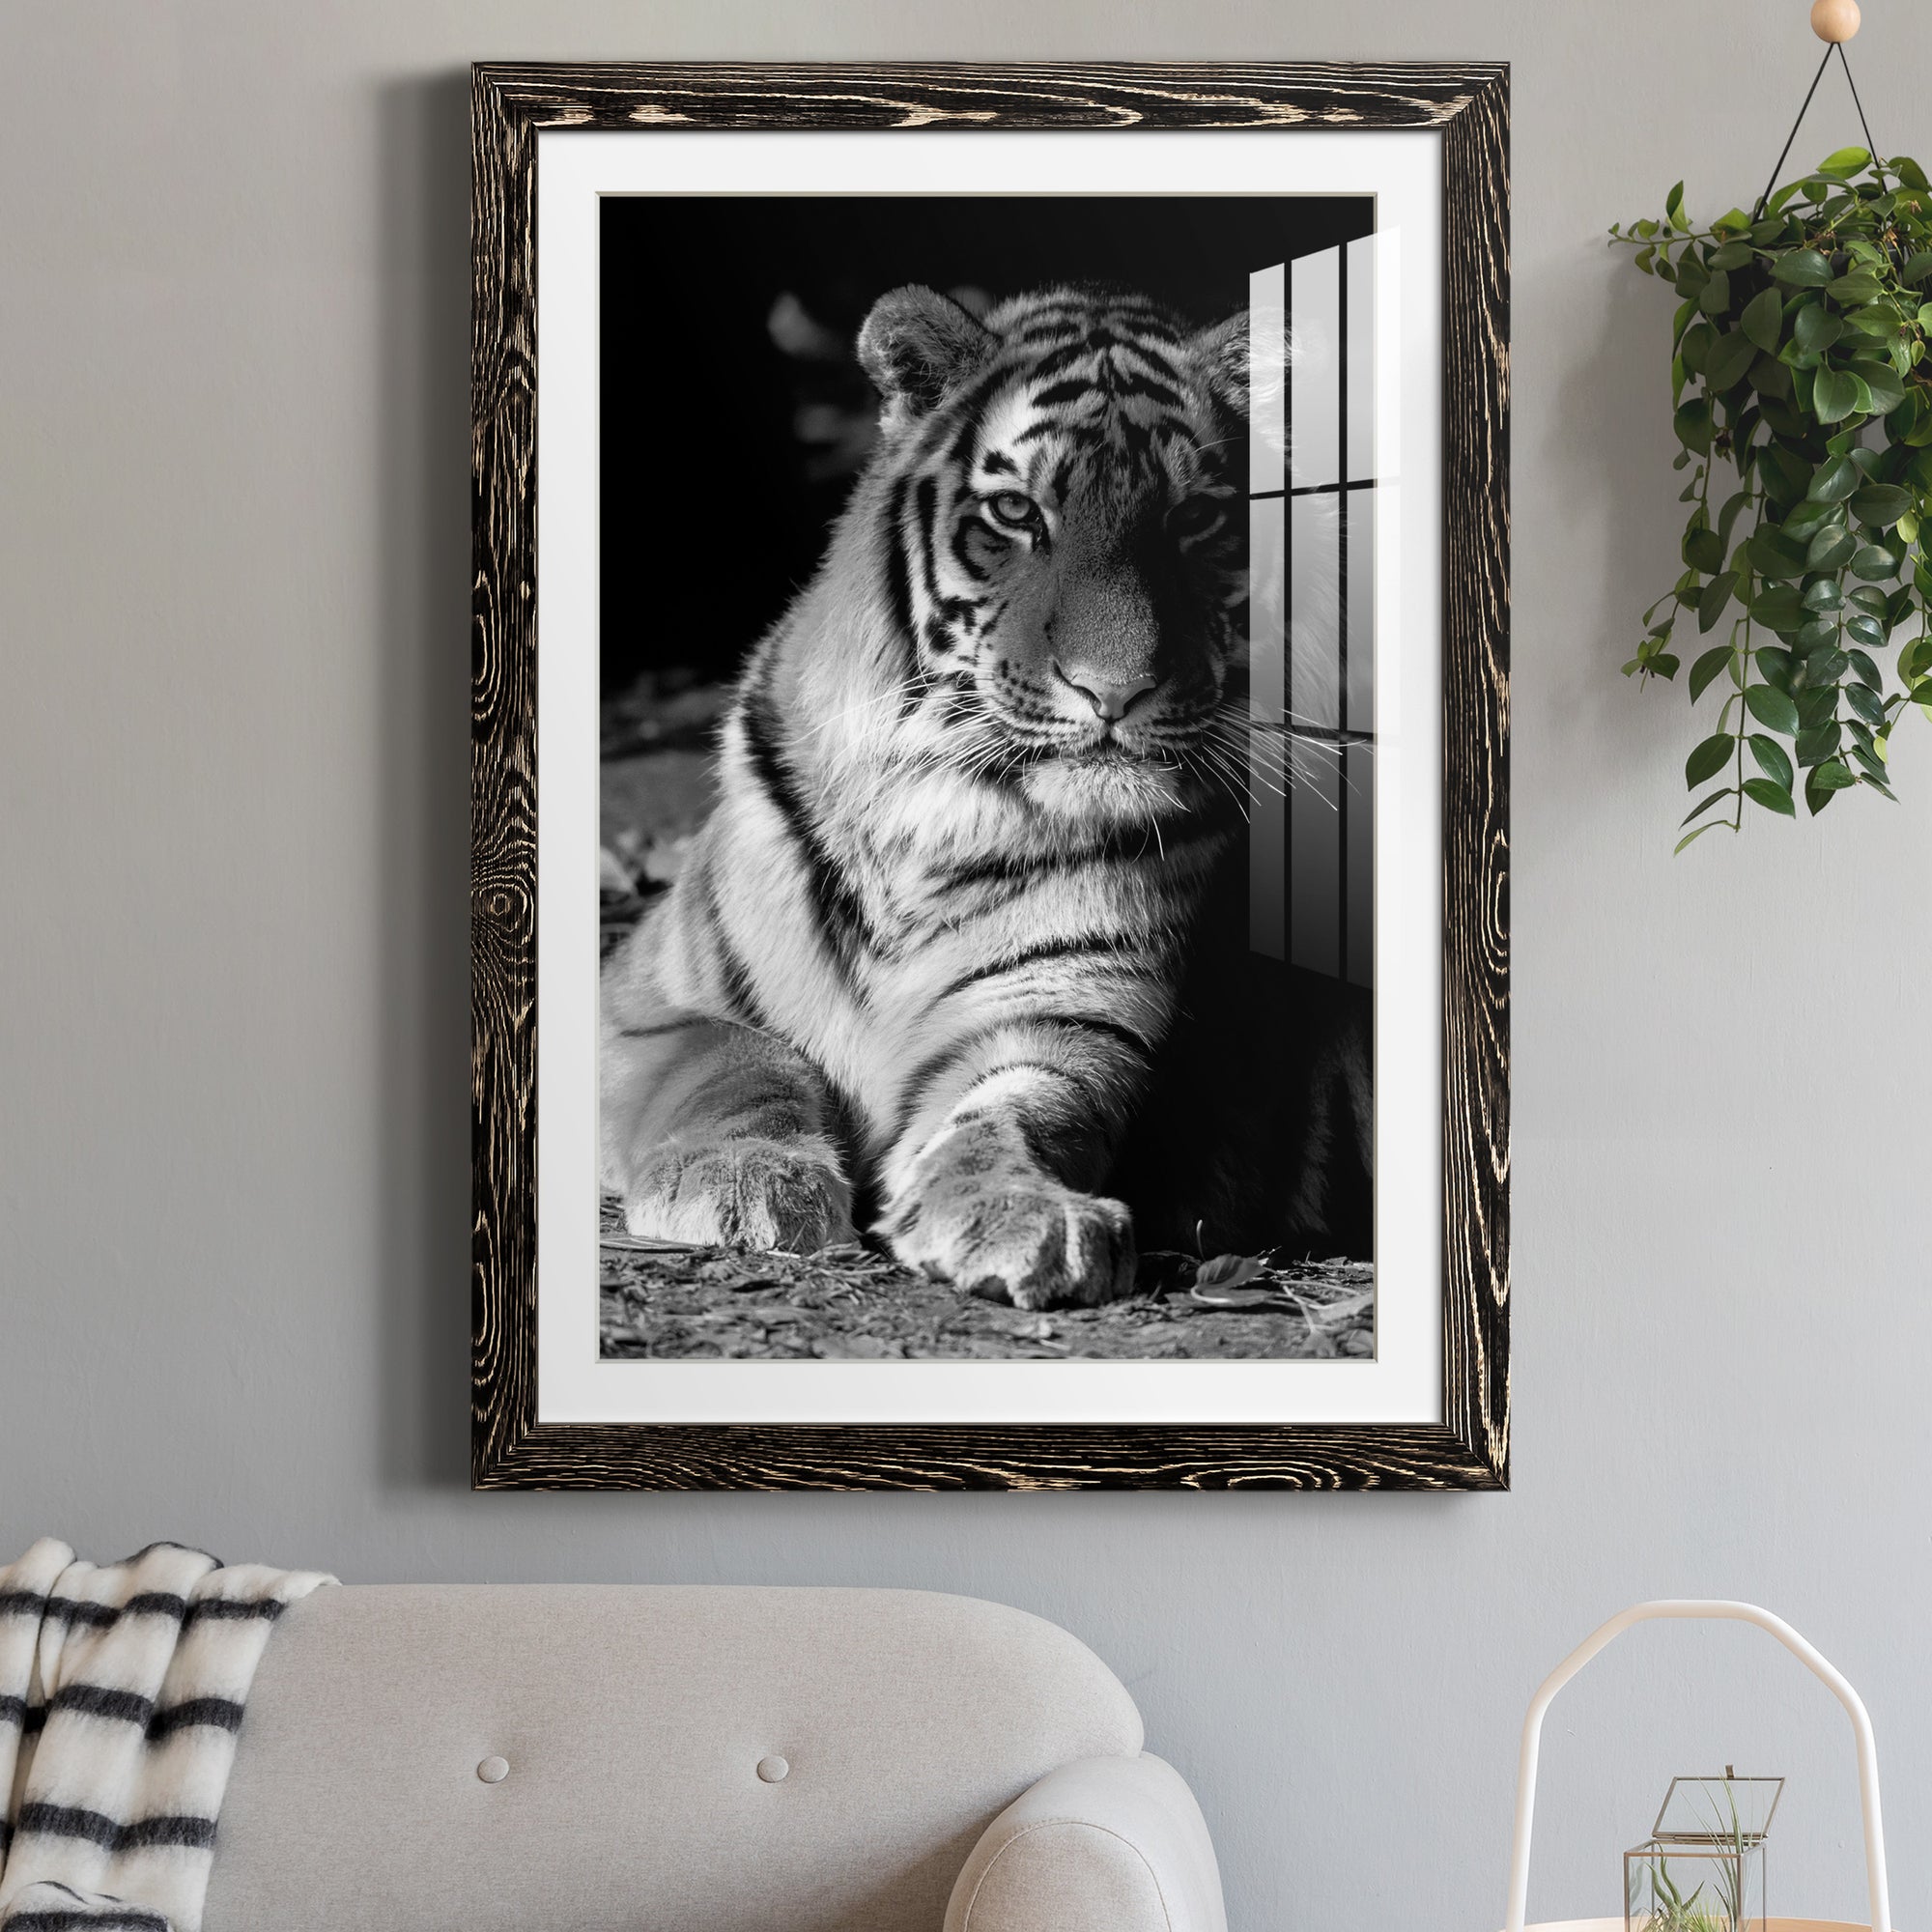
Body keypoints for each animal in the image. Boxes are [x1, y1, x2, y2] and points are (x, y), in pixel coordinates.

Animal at [600, 280, 1372, 1310]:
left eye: (1195, 520)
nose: (1115, 691)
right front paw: (743, 1182)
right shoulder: (642, 999)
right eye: (1016, 512)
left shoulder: (1060, 1018)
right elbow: (737, 1062)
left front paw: (1024, 1215)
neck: (938, 812)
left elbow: (1013, 1113)